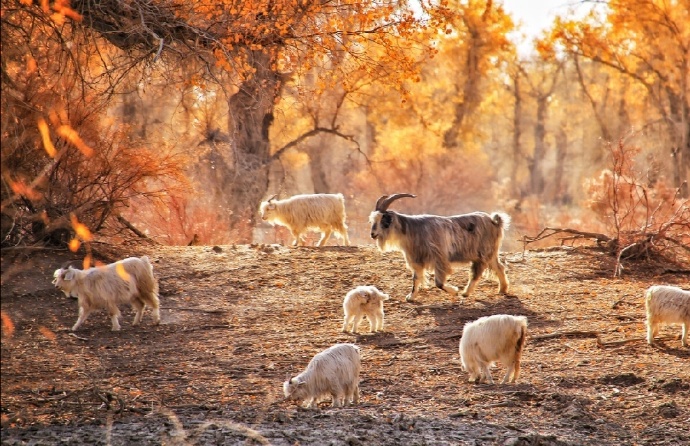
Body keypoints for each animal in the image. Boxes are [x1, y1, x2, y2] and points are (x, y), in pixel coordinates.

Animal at [368, 193, 508, 302]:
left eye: (382, 219)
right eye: (372, 221)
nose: (372, 234)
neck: (412, 230)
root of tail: (494, 221)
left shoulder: (439, 258)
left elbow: (439, 283)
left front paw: (454, 291)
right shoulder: (417, 259)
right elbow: (416, 278)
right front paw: (411, 297)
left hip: (482, 253)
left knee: (476, 273)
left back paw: (465, 293)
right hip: (491, 253)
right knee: (499, 267)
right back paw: (503, 289)